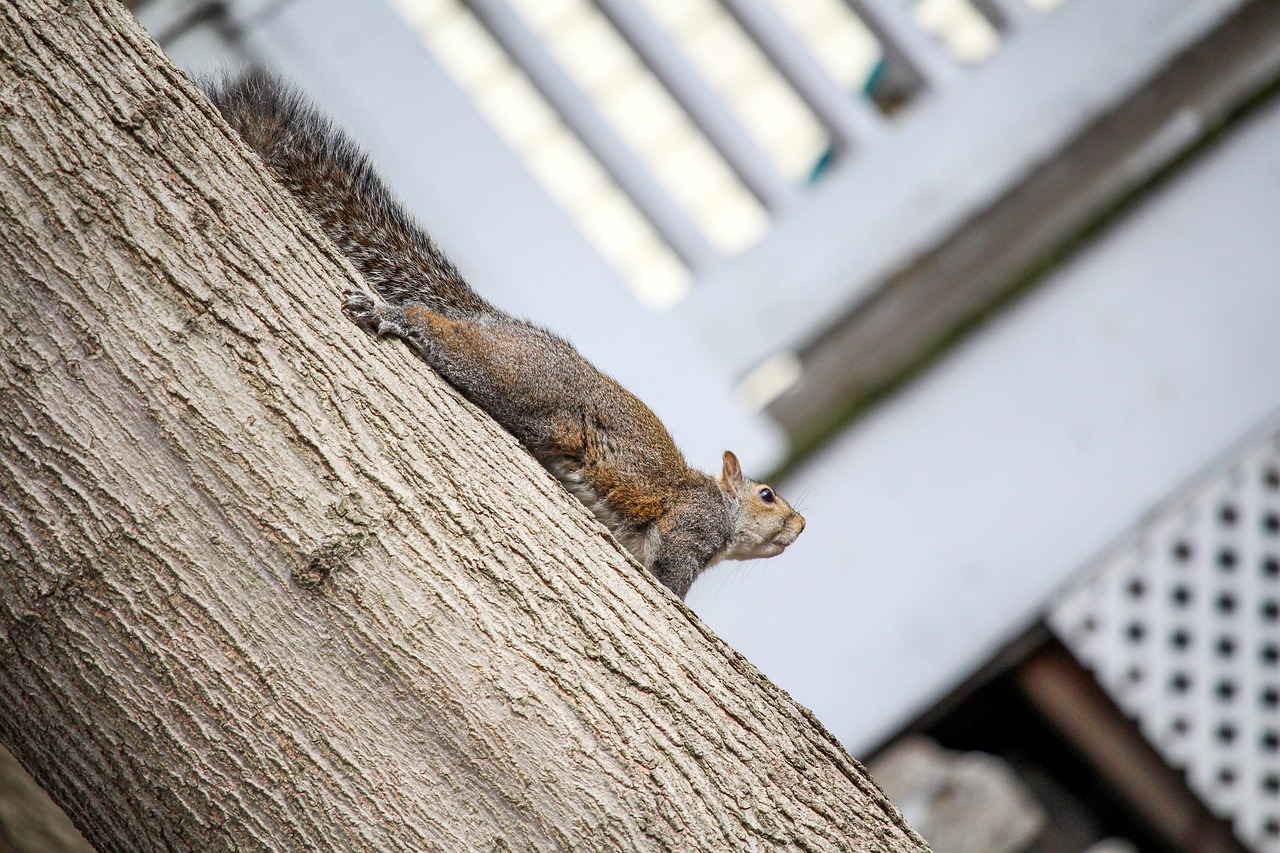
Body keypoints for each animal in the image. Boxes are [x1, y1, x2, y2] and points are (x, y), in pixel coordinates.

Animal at [204, 73, 803, 594]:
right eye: (768, 495)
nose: (802, 528)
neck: (723, 511)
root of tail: (497, 322)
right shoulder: (689, 529)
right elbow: (670, 576)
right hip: (518, 381)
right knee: (445, 337)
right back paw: (396, 315)